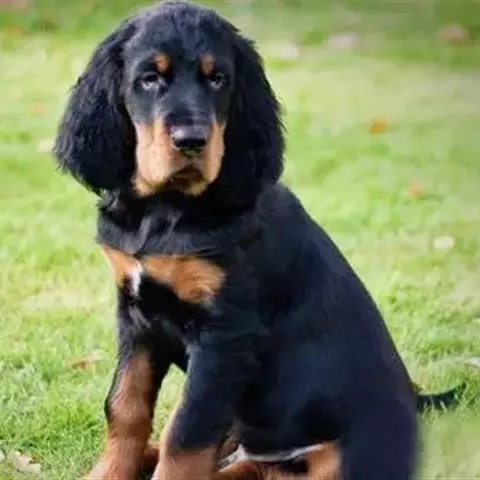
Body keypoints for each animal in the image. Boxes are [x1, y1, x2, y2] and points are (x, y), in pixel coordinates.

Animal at [53, 2, 462, 479]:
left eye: (218, 78)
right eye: (150, 77)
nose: (191, 141)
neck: (167, 208)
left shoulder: (225, 336)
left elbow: (186, 433)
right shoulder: (136, 316)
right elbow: (125, 406)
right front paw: (108, 472)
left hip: (337, 455)